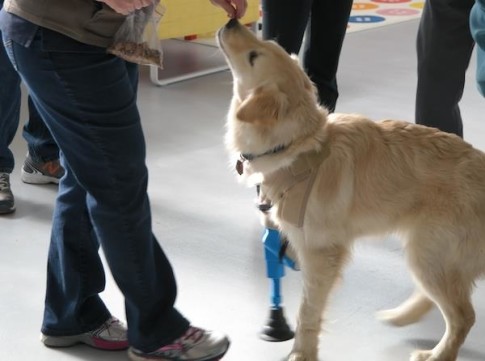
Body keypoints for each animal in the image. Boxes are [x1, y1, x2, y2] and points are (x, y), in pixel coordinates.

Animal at [217, 19, 484, 360]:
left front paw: (302, 352)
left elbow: (307, 312)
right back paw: (402, 316)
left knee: (463, 316)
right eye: (265, 43)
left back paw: (438, 353)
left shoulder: (320, 253)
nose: (231, 21)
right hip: (428, 254)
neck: (298, 146)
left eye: (253, 56)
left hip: (429, 252)